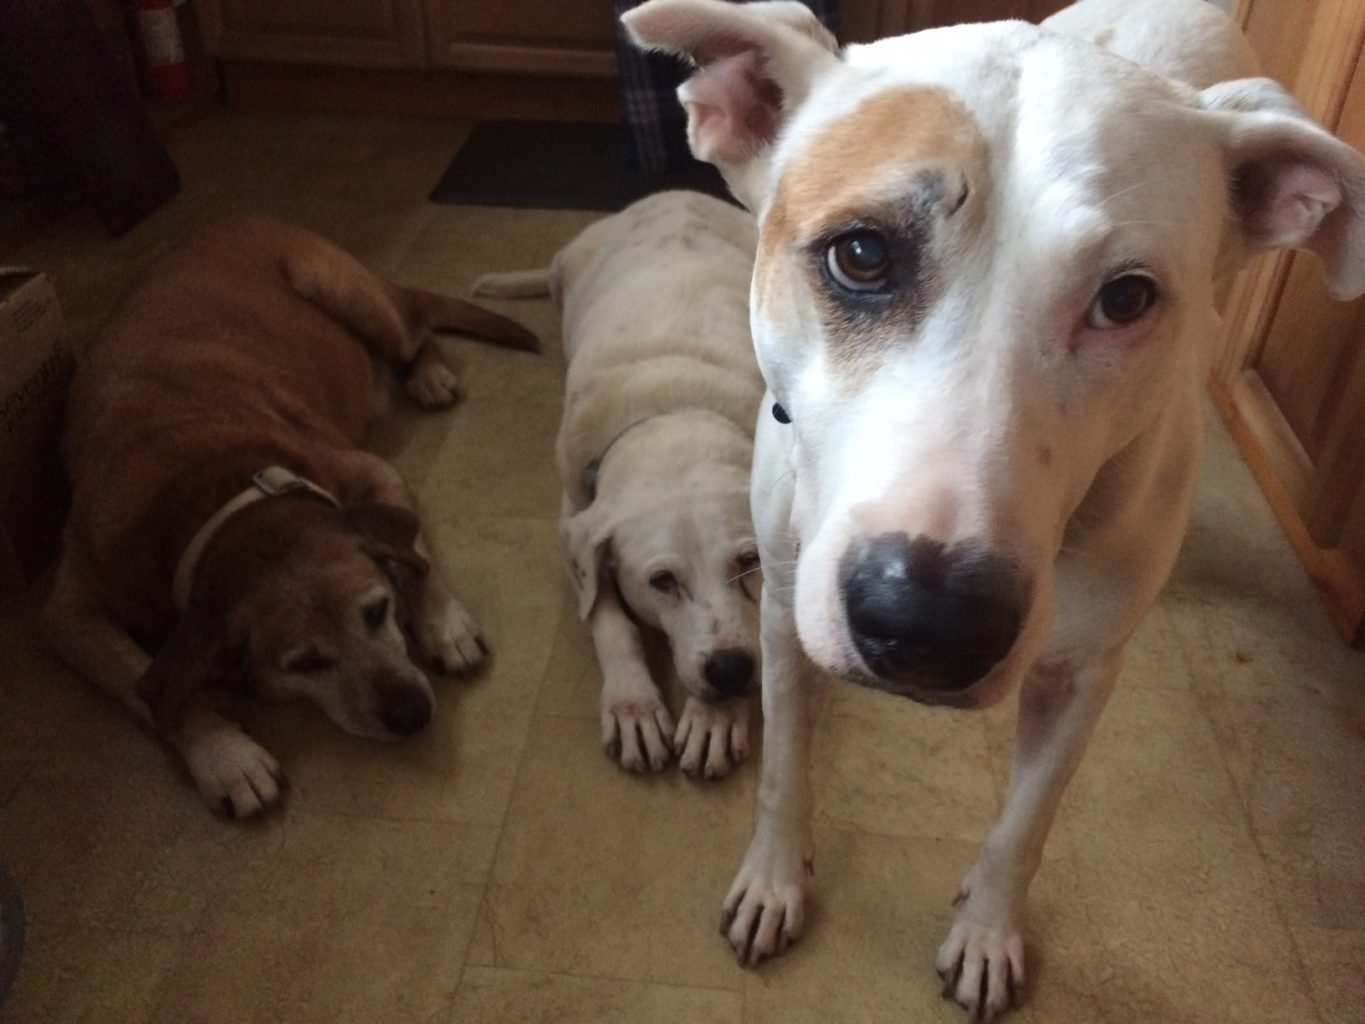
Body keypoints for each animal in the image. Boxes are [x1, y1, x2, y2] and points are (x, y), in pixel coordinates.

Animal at [44, 214, 532, 819]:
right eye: (303, 664)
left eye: (377, 611)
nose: (411, 712)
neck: (202, 492)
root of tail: (244, 218)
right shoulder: (69, 612)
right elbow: (145, 682)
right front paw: (224, 754)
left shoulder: (372, 473)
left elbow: (414, 556)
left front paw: (445, 626)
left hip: (354, 296)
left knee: (419, 332)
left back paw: (430, 376)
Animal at [475, 191, 764, 775]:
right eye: (661, 581)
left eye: (749, 562)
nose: (730, 671)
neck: (674, 407)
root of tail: (675, 194)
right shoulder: (574, 520)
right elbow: (608, 617)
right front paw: (634, 702)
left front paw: (715, 719)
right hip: (571, 265)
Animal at [625, 2, 1359, 1021]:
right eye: (860, 254)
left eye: (1126, 297)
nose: (928, 624)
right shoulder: (778, 606)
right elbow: (784, 770)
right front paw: (774, 880)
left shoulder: (1081, 674)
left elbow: (1024, 825)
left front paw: (985, 930)